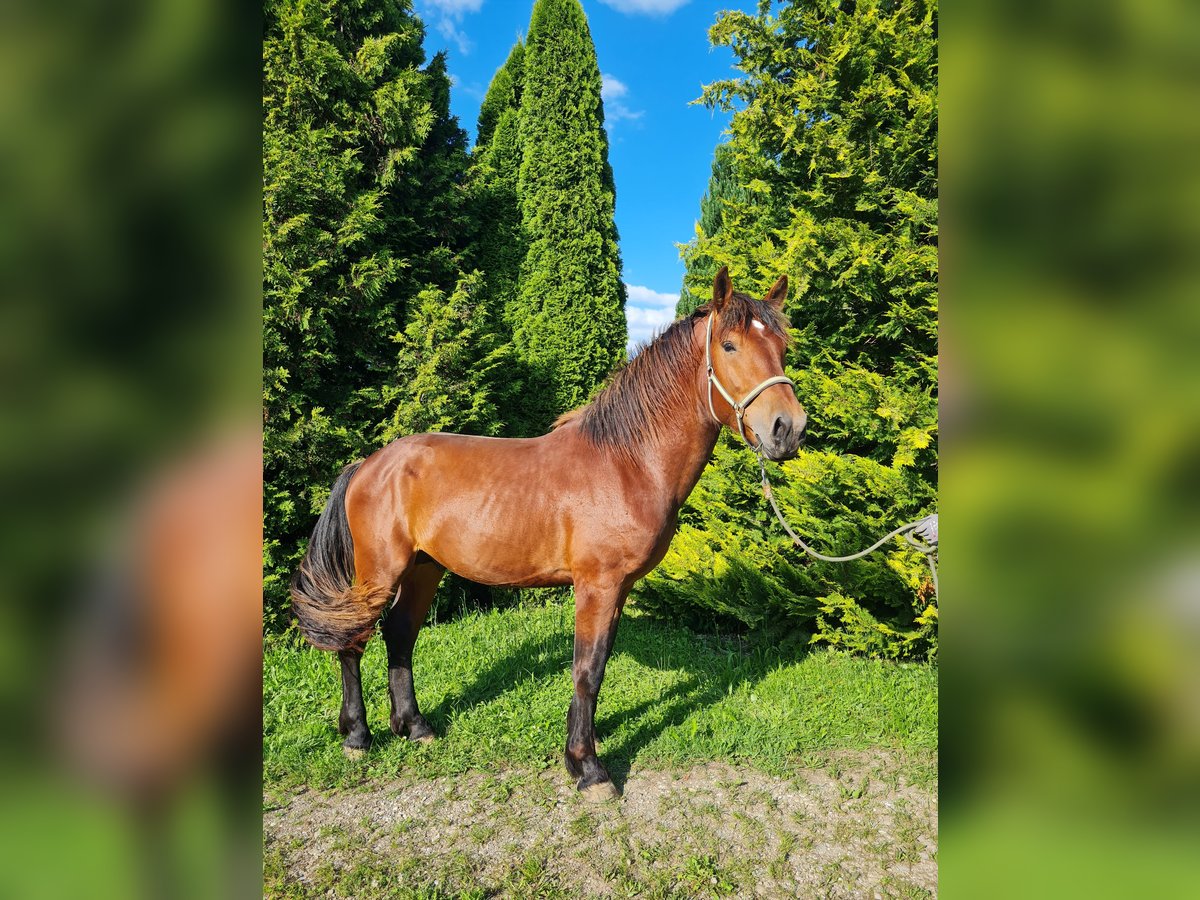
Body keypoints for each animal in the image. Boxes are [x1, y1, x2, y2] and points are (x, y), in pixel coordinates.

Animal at [290, 267, 806, 801]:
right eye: (729, 345)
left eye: (782, 347)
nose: (788, 429)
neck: (626, 462)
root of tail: (368, 464)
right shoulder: (596, 585)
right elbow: (587, 670)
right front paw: (588, 768)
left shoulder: (618, 589)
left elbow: (597, 667)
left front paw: (586, 745)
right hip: (378, 572)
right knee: (354, 641)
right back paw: (356, 736)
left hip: (423, 569)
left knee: (400, 634)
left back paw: (415, 727)